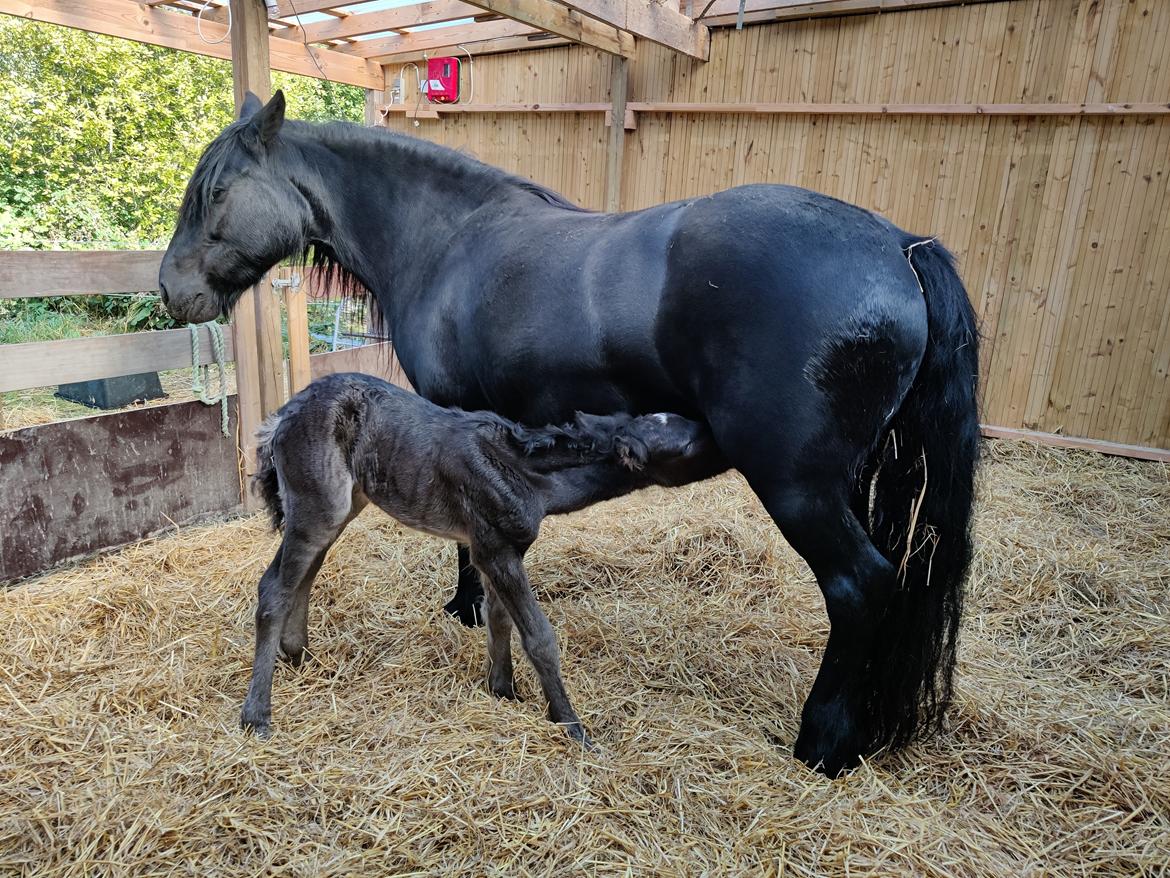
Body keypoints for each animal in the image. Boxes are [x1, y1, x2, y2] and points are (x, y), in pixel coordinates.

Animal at [242, 371, 722, 743]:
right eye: (685, 443)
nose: (720, 431)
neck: (529, 473)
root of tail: (280, 416)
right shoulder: (494, 549)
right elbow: (539, 637)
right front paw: (571, 724)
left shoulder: (499, 549)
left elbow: (498, 618)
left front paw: (503, 692)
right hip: (317, 503)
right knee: (275, 587)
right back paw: (257, 715)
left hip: (343, 503)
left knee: (306, 573)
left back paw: (300, 657)